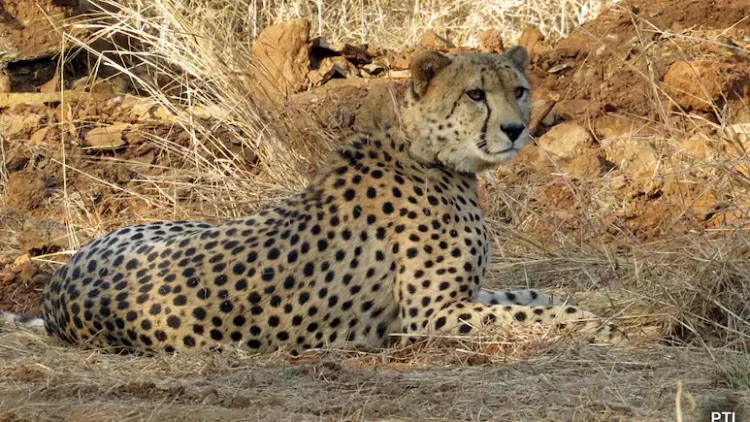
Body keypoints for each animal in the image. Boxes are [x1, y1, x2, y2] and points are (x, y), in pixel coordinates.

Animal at [8, 46, 624, 355]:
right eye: (475, 94)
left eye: (518, 89)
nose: (518, 130)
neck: (430, 154)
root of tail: (56, 288)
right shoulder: (428, 314)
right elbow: (528, 312)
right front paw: (596, 327)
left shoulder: (462, 296)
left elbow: (532, 294)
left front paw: (595, 311)